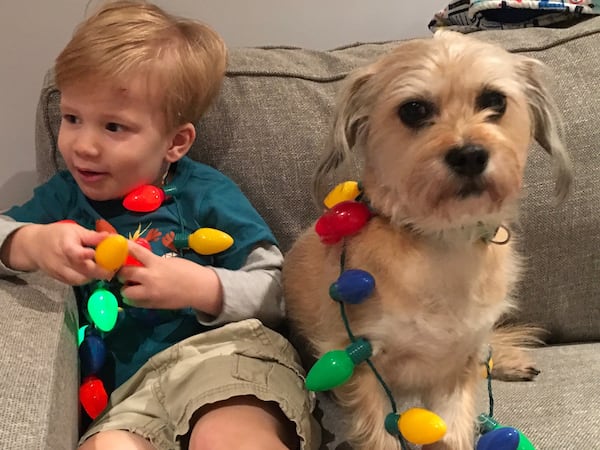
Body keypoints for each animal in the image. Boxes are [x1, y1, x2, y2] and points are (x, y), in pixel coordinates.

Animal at [282, 30, 572, 450]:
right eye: (414, 109)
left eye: (495, 101)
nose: (470, 155)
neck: (443, 241)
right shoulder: (361, 366)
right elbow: (380, 435)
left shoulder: (456, 366)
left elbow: (452, 431)